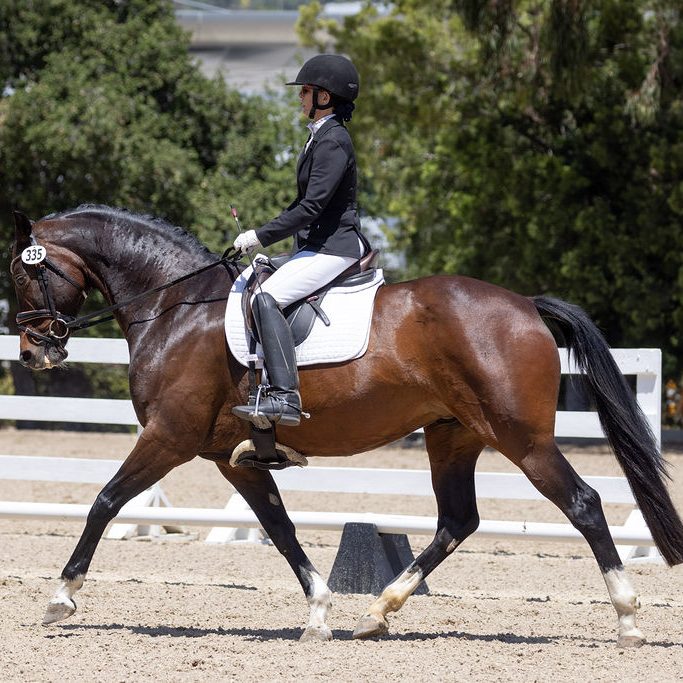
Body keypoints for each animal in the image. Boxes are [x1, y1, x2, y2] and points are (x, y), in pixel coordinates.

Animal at [10, 205, 683, 647]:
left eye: (21, 273)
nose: (33, 353)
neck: (175, 309)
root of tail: (525, 305)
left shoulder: (168, 438)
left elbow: (105, 501)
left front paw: (60, 597)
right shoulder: (231, 457)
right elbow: (280, 529)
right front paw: (318, 613)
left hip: (523, 438)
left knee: (583, 503)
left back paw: (627, 618)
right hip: (453, 435)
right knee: (457, 520)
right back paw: (378, 612)